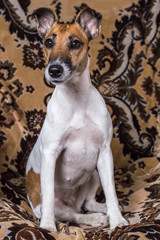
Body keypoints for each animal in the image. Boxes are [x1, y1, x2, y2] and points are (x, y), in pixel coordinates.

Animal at [25, 4, 128, 232]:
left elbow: (112, 193)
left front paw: (117, 220)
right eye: (48, 42)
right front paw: (47, 227)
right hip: (52, 204)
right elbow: (49, 201)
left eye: (75, 43)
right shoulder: (51, 154)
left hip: (94, 174)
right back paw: (93, 219)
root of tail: (73, 201)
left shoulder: (104, 153)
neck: (77, 99)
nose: (54, 70)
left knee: (87, 203)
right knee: (73, 215)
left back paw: (104, 211)